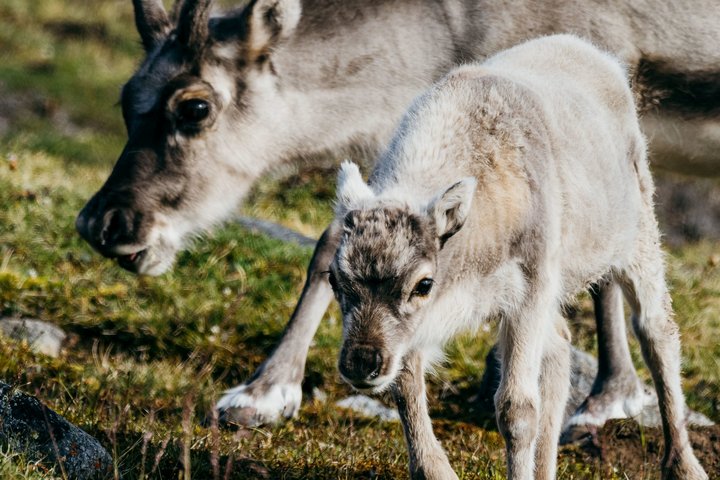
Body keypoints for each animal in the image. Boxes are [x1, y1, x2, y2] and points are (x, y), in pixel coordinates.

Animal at [332, 35, 708, 478]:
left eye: (422, 283)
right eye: (335, 280)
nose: (361, 363)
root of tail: (593, 52)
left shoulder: (527, 292)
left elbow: (516, 409)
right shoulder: (424, 326)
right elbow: (406, 387)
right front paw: (434, 469)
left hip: (639, 239)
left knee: (657, 332)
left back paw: (684, 464)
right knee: (562, 344)